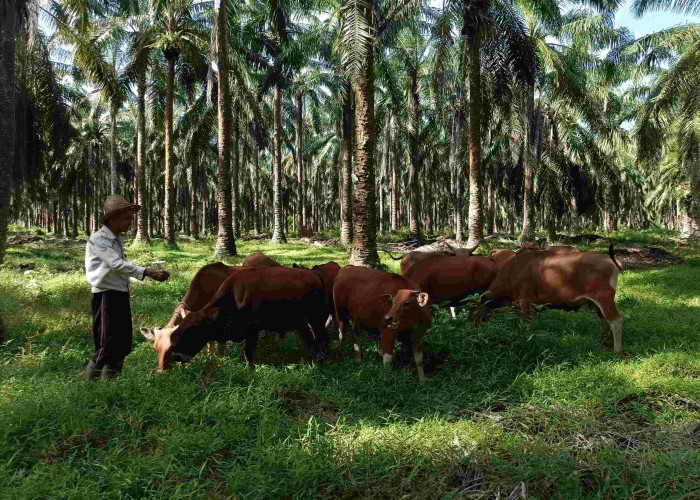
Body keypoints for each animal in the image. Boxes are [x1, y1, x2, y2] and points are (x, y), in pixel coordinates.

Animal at [141, 266, 332, 372]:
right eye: (156, 348)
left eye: (191, 332)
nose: (177, 357)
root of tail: (314, 275)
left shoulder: (253, 329)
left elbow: (248, 353)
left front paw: (250, 369)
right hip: (301, 322)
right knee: (309, 339)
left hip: (316, 318)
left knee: (323, 337)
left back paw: (322, 360)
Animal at [484, 244, 628, 354]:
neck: (515, 269)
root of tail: (609, 259)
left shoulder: (525, 303)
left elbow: (526, 327)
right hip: (595, 304)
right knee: (604, 320)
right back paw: (603, 342)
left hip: (605, 300)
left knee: (616, 320)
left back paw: (617, 350)